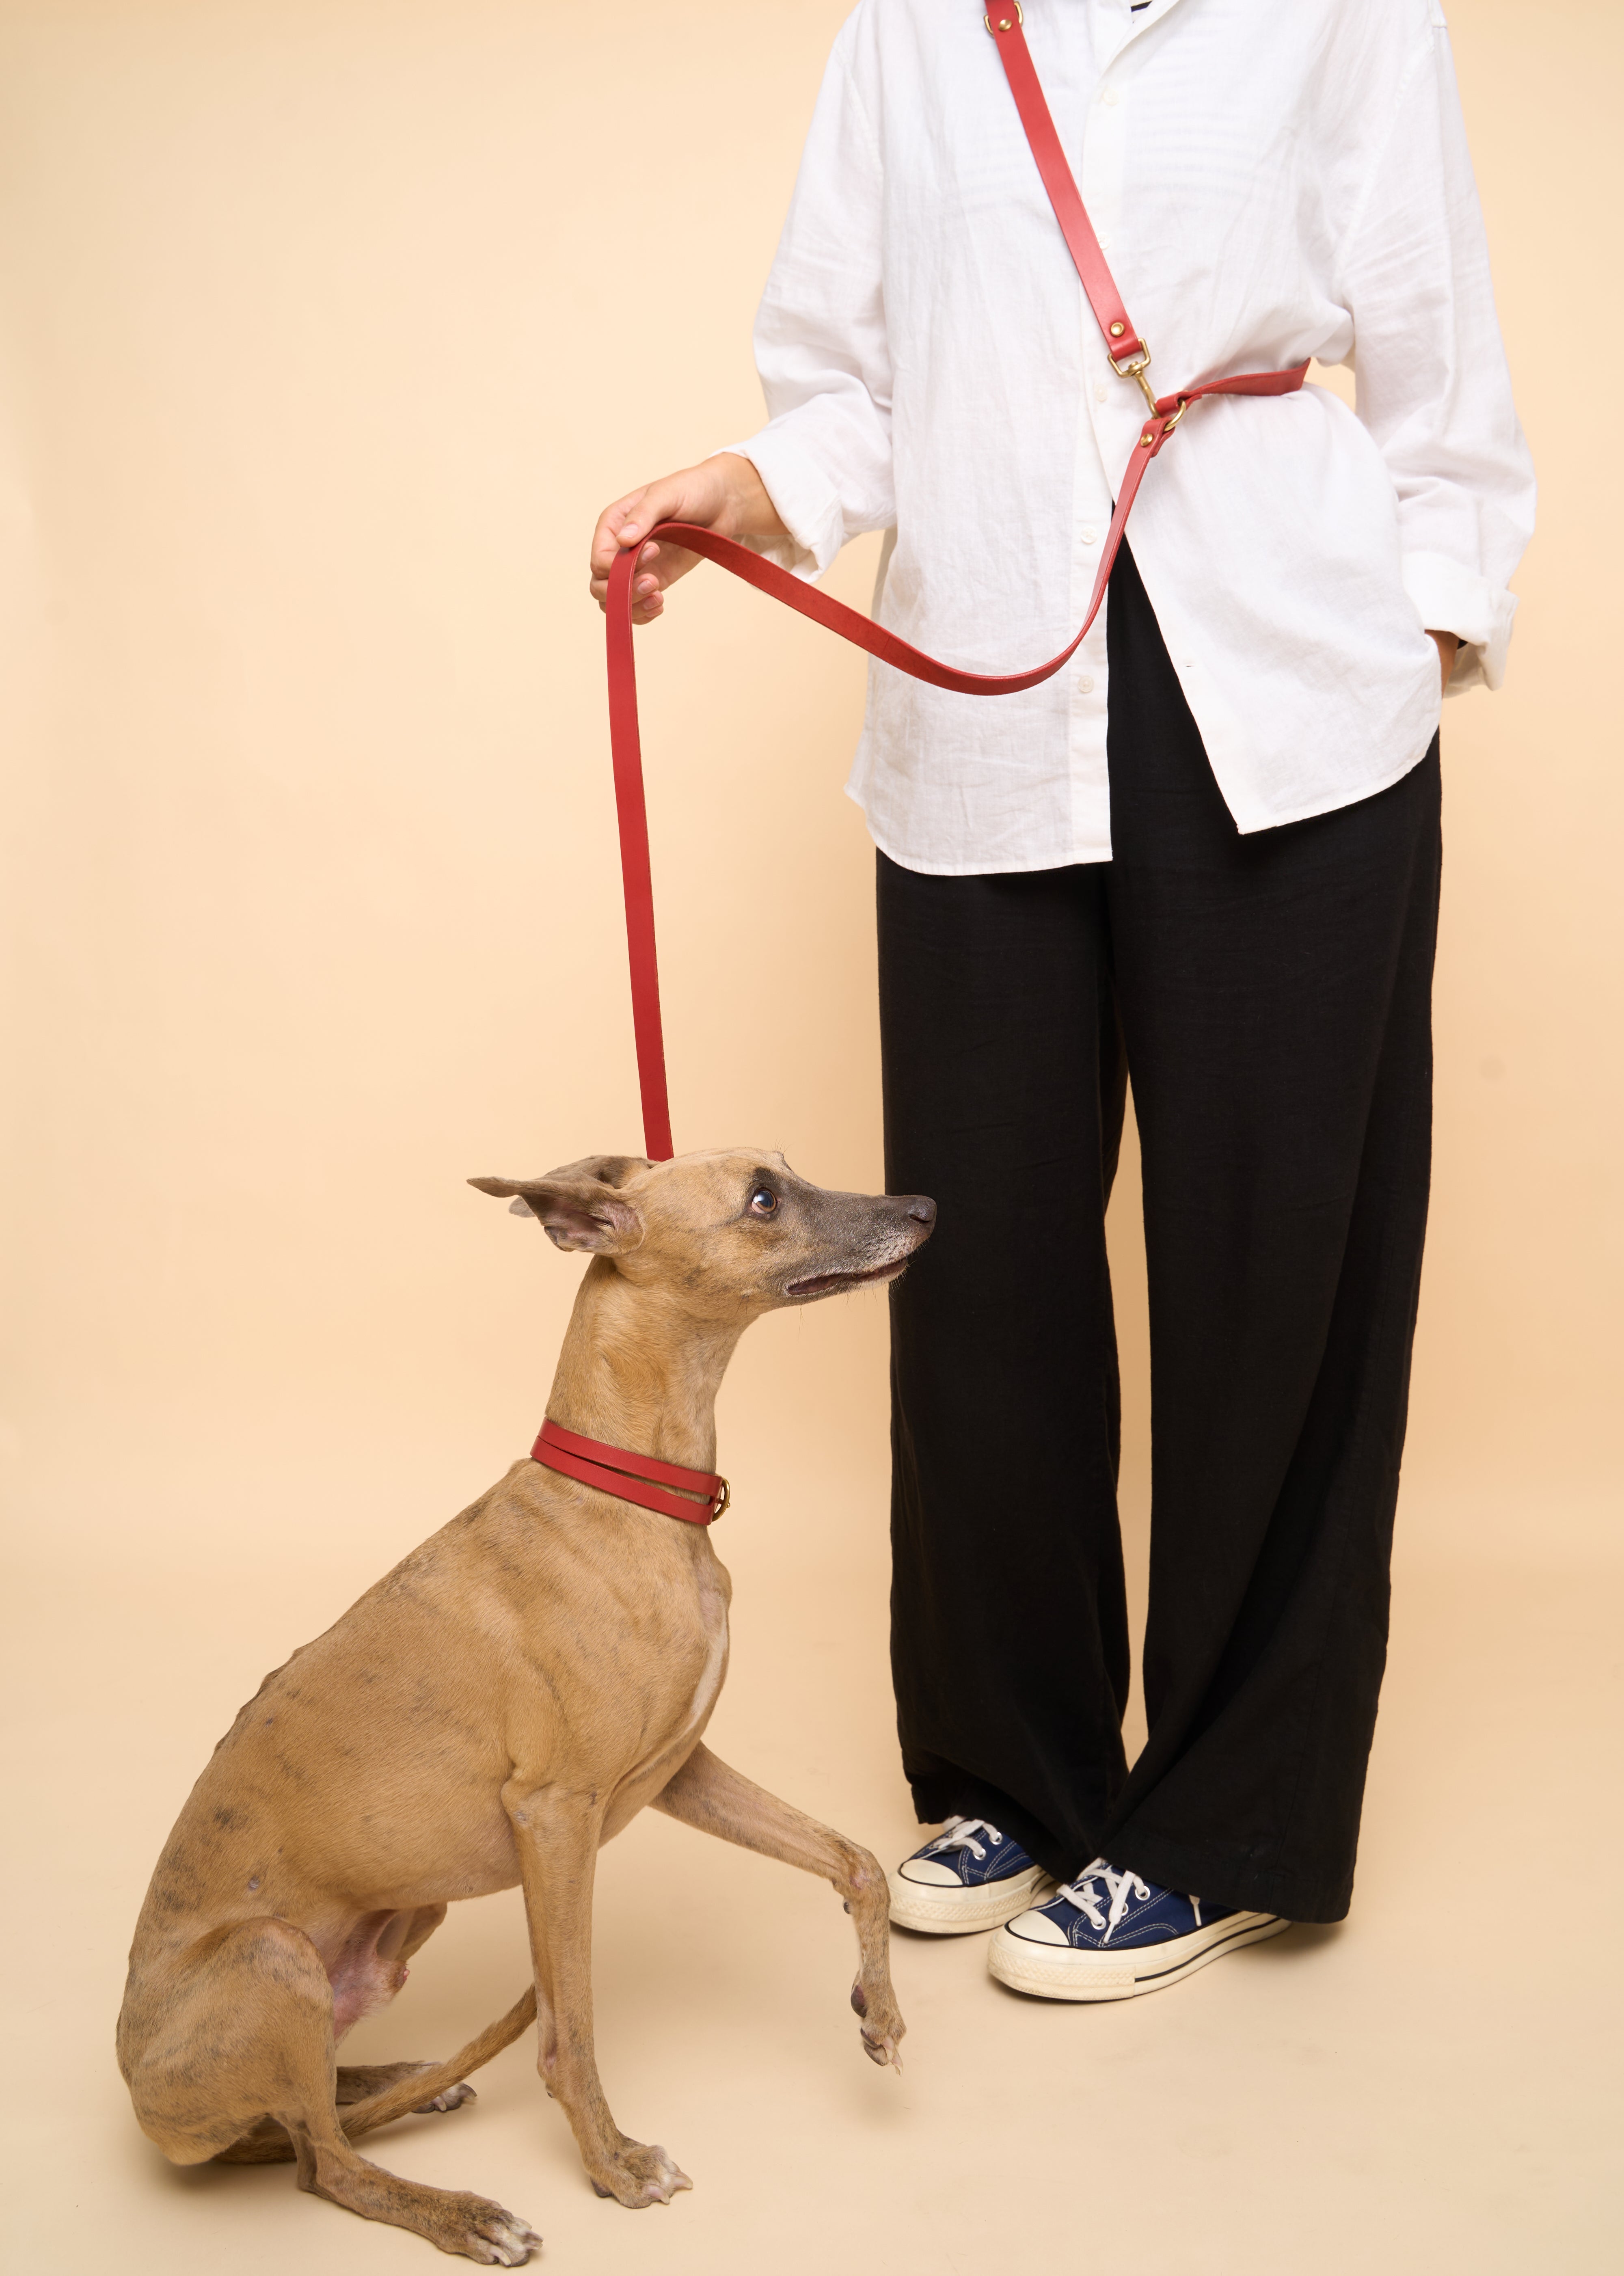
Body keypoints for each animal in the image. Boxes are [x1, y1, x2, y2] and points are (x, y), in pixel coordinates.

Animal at [114, 1147, 928, 2267]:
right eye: (762, 1196)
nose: (923, 1207)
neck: (626, 1495)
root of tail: (138, 2094)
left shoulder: (679, 1773)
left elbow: (854, 1860)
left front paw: (879, 2013)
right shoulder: (558, 1813)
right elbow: (569, 2025)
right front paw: (614, 2165)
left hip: (395, 1929)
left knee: (299, 2118)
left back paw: (397, 2082)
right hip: (272, 1954)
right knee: (321, 2163)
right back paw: (460, 2208)